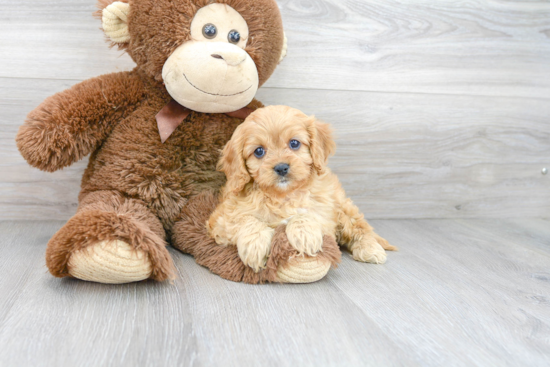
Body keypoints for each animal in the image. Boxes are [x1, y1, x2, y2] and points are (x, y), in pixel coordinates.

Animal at [207, 105, 396, 272]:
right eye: (259, 151)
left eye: (294, 143)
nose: (281, 167)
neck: (282, 195)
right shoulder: (222, 219)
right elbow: (246, 219)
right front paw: (255, 247)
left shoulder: (324, 210)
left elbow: (305, 214)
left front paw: (305, 236)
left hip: (344, 209)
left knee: (361, 228)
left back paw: (371, 249)